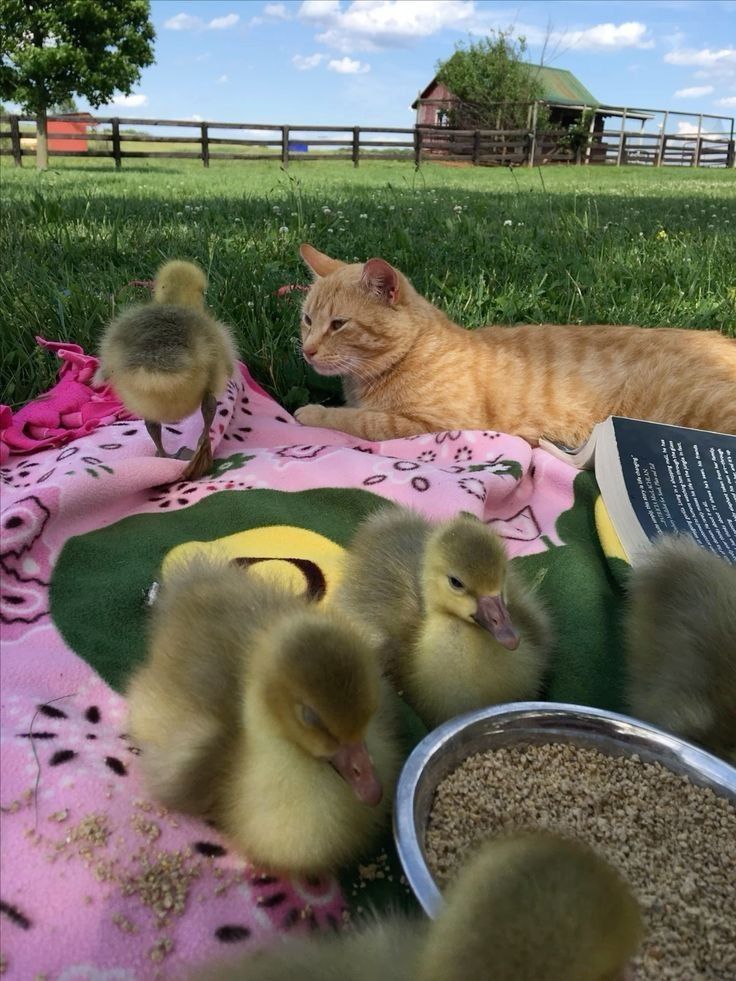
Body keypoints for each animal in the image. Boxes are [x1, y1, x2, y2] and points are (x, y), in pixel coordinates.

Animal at [294, 245, 736, 444]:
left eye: (339, 324)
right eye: (308, 320)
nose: (308, 351)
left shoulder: (433, 425)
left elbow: (361, 421)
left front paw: (313, 412)